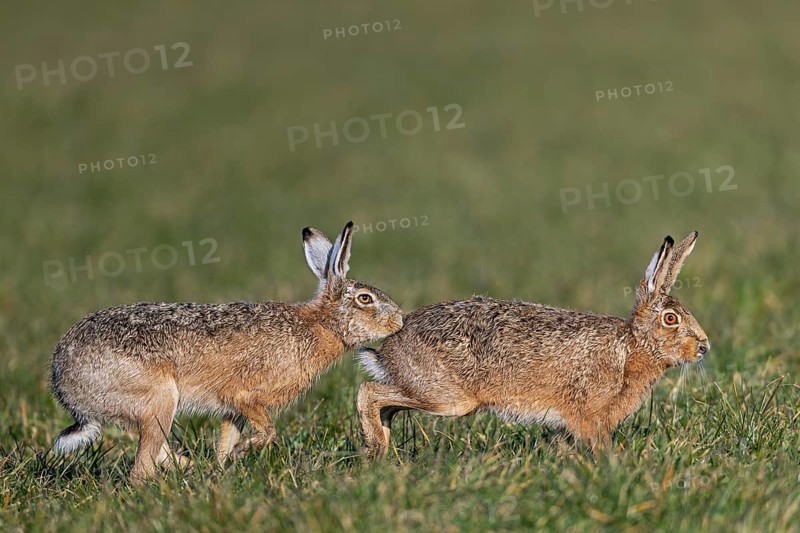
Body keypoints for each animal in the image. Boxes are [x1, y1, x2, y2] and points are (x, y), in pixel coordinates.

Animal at [50, 221, 403, 480]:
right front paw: (241, 453)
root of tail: (64, 384)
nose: (398, 321)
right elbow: (268, 431)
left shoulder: (232, 410)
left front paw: (223, 466)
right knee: (142, 467)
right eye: (365, 298)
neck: (321, 324)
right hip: (159, 398)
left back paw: (197, 471)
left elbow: (227, 435)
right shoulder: (243, 395)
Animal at [356, 231, 709, 457]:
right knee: (368, 391)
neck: (632, 347)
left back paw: (379, 451)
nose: (704, 346)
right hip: (447, 397)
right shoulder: (589, 414)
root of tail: (389, 348)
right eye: (671, 319)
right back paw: (376, 447)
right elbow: (598, 443)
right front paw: (611, 465)